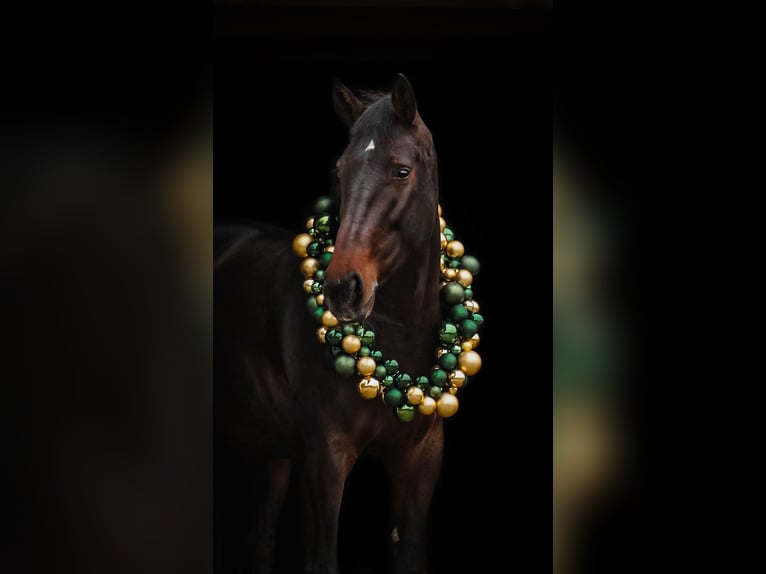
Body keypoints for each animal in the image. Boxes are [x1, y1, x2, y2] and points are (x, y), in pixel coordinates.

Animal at [214, 74, 444, 574]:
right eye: (340, 172)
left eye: (401, 171)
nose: (343, 288)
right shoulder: (325, 458)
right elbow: (321, 559)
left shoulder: (419, 460)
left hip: (270, 452)